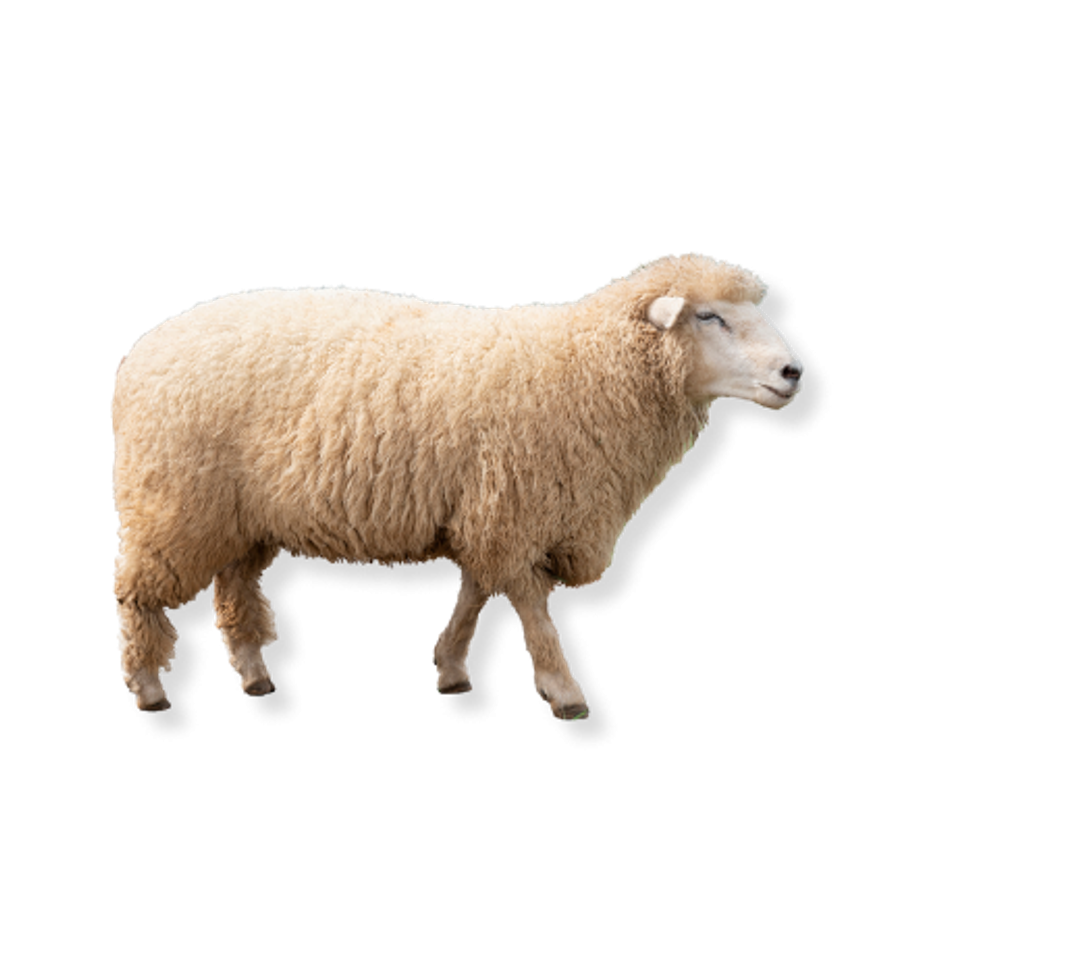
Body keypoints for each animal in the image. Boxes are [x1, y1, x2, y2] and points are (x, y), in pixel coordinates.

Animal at [111, 252, 805, 721]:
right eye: (709, 316)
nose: (793, 372)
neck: (584, 368)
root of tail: (146, 344)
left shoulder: (487, 508)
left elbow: (476, 590)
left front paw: (450, 668)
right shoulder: (516, 509)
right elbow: (530, 605)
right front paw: (565, 692)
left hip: (239, 515)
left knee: (233, 590)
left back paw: (258, 678)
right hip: (172, 503)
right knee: (138, 593)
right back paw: (149, 689)